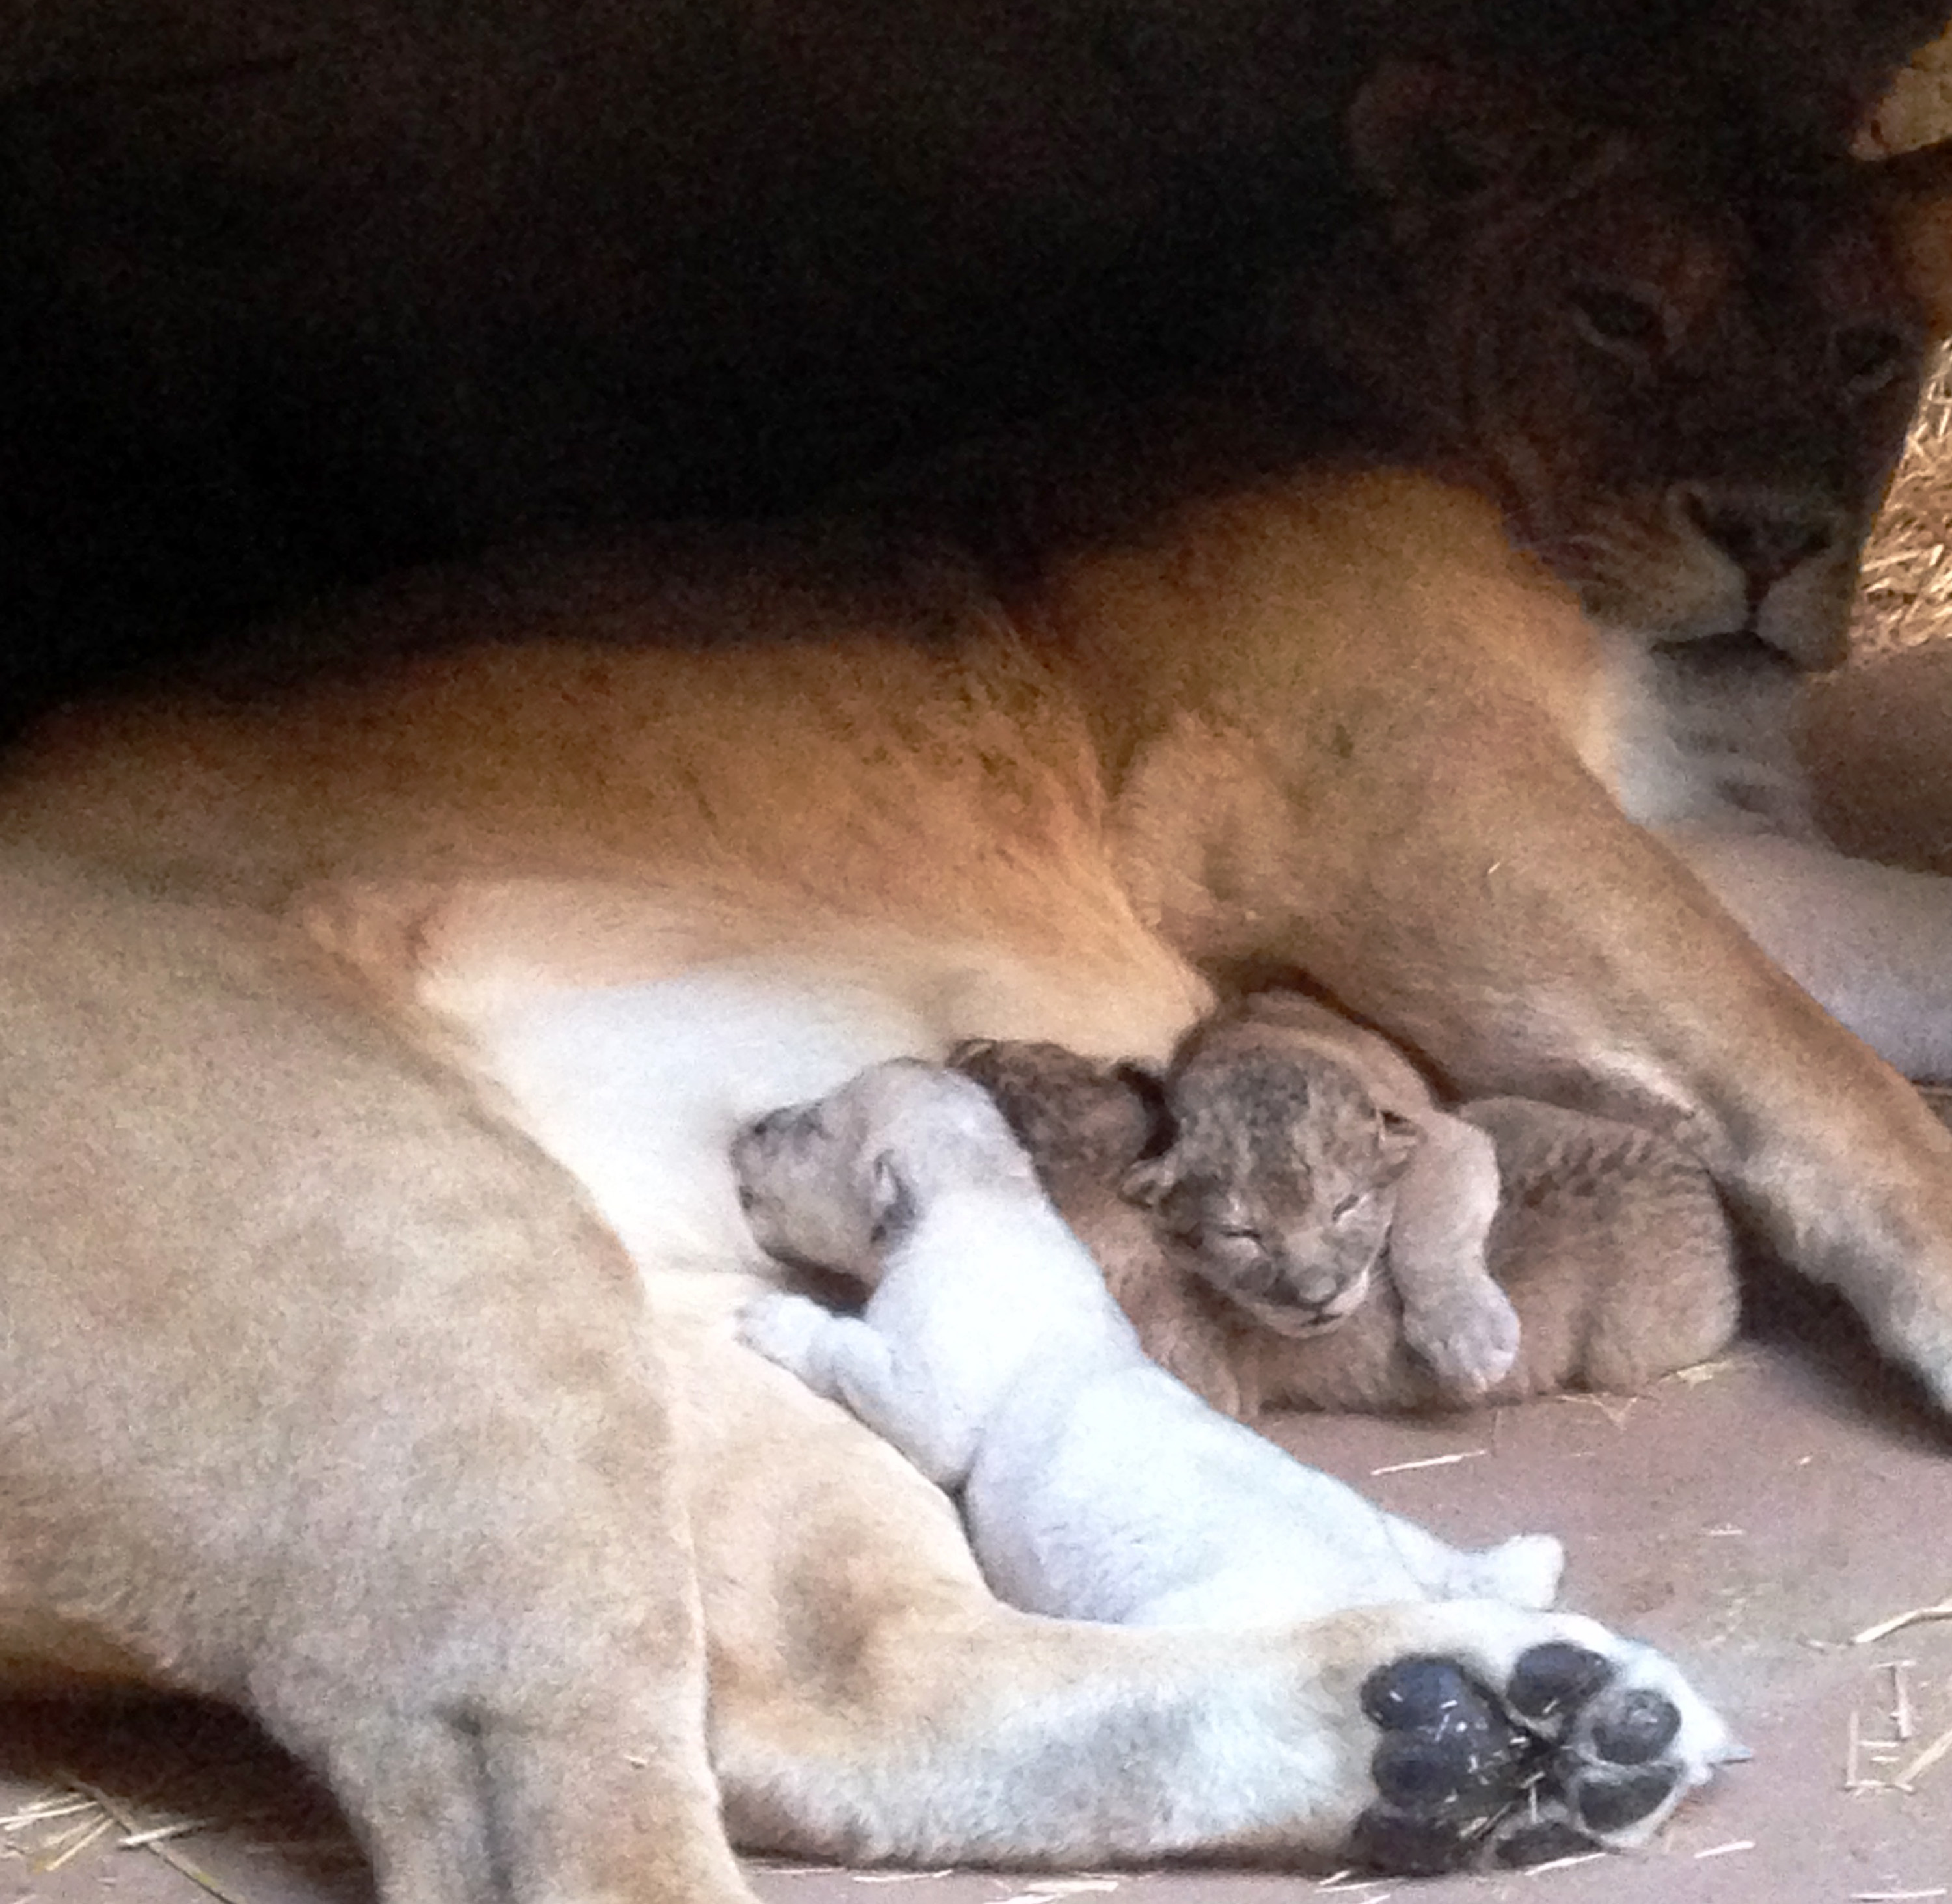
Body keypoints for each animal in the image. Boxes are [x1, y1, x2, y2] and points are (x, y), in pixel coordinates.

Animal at [7, 65, 1952, 1891]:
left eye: (1868, 350)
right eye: (1617, 312)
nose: (1772, 534)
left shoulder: (1694, 830)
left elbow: (1869, 943)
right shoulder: (1395, 798)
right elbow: (1784, 1047)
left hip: (666, 1336)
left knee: (859, 1687)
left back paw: (1483, 1729)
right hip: (430, 1287)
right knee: (559, 1814)